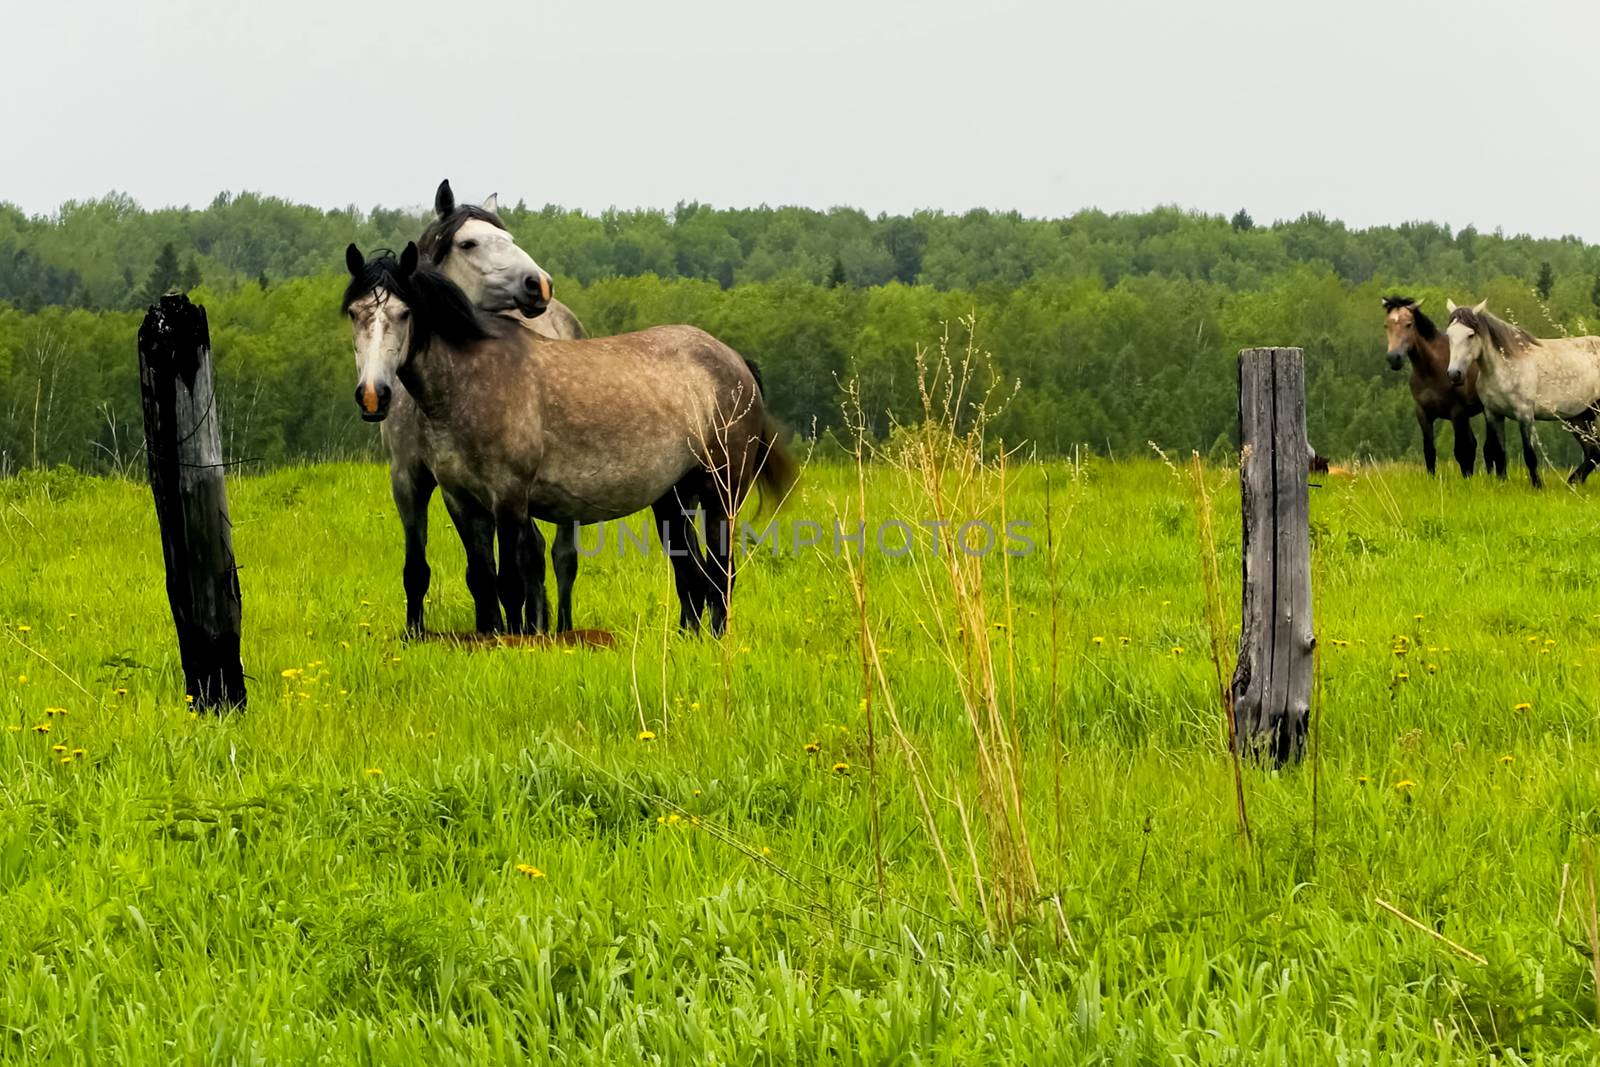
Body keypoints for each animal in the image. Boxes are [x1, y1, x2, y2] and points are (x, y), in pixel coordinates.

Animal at [1382, 292, 1504, 476]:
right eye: (1386, 325)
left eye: (1408, 324)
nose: (1393, 358)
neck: (1430, 370)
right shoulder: (1423, 414)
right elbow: (1429, 452)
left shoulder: (1457, 412)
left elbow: (1463, 451)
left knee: (1490, 447)